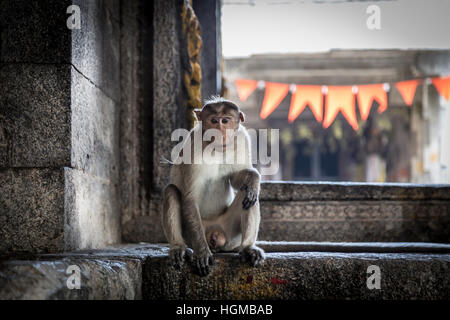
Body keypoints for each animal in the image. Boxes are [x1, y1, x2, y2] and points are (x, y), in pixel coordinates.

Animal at [163, 95, 266, 276]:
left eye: (225, 120)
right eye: (213, 121)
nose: (220, 132)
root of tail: (214, 234)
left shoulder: (242, 139)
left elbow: (237, 178)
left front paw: (254, 178)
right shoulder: (193, 147)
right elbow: (190, 198)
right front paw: (202, 252)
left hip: (229, 234)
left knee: (248, 196)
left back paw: (248, 248)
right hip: (193, 232)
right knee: (171, 191)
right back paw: (179, 248)